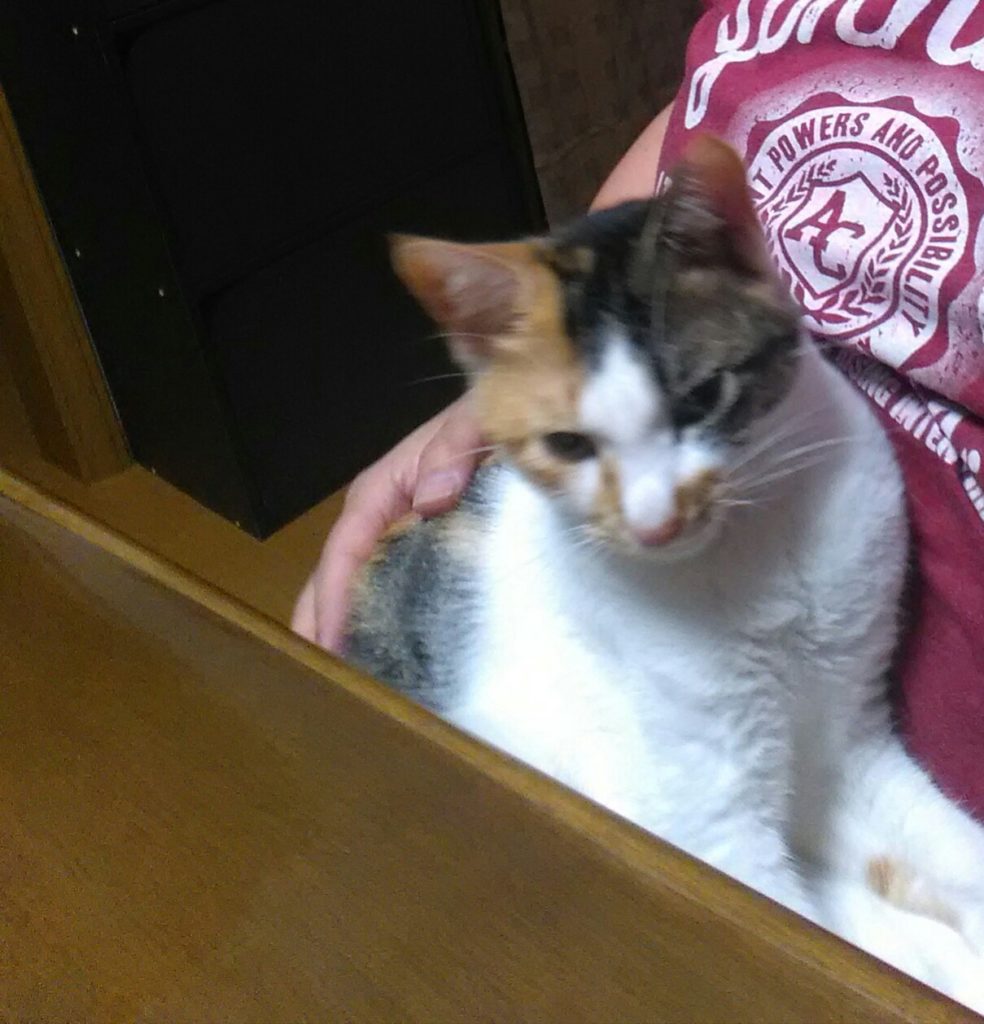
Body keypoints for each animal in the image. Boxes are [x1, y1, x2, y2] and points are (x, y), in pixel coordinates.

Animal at [344, 136, 984, 1011]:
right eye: (568, 444)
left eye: (703, 397)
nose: (657, 521)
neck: (753, 564)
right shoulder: (713, 822)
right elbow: (794, 911)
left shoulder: (847, 735)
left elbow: (940, 844)